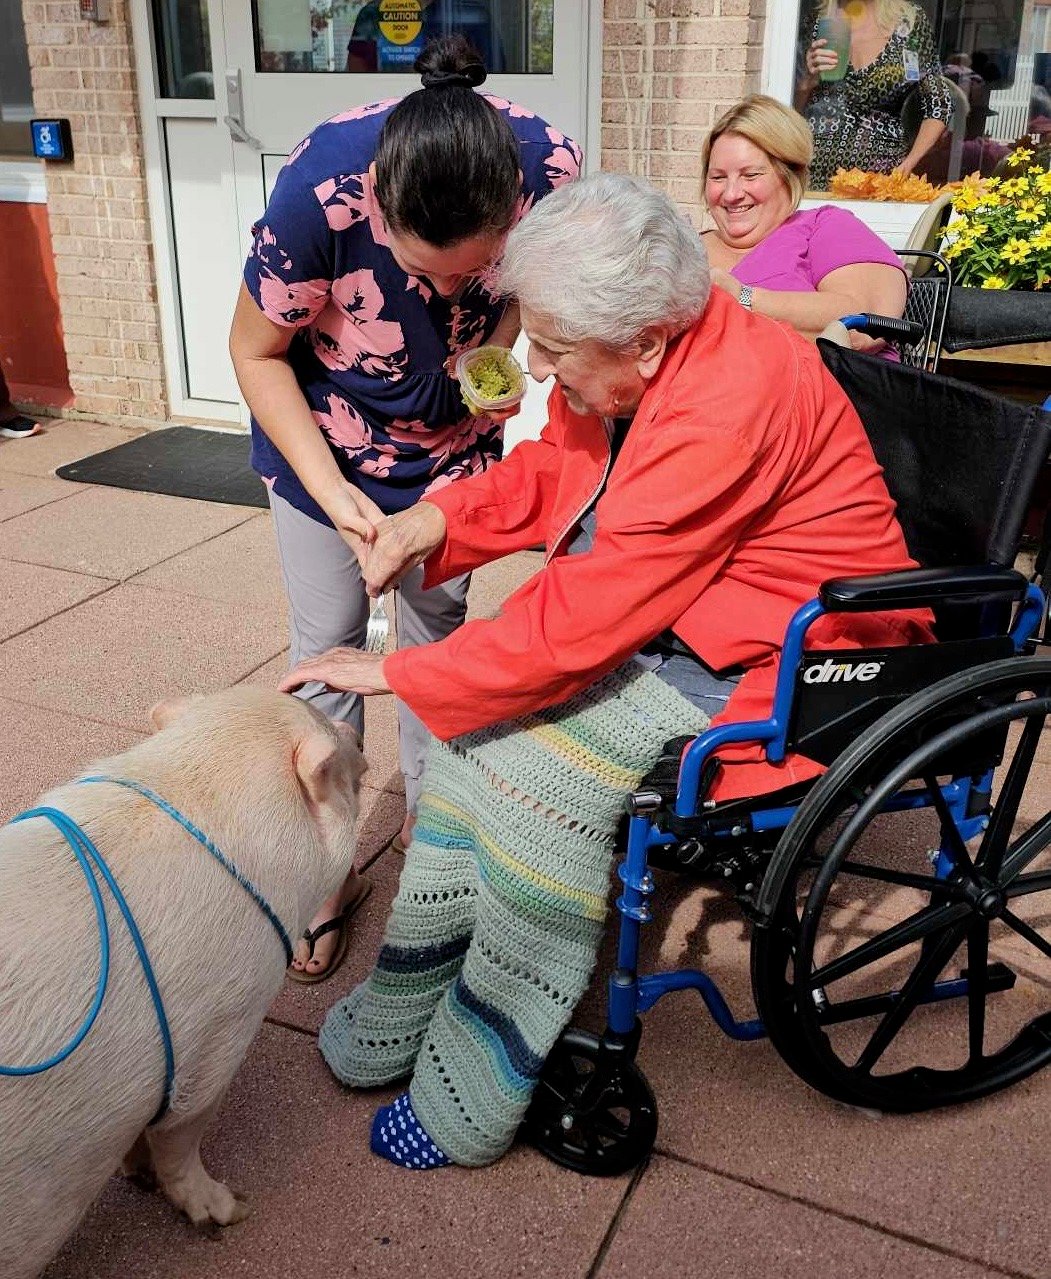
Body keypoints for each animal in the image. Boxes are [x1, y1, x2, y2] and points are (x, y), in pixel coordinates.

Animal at [0, 687, 365, 1279]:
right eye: (330, 738)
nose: (356, 734)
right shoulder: (220, 1034)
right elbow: (182, 1135)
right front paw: (232, 1210)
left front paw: (135, 1174)